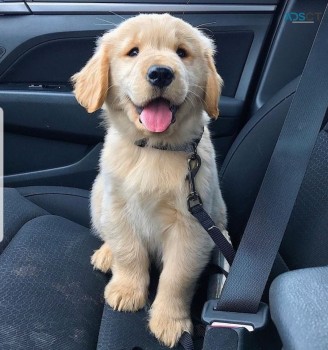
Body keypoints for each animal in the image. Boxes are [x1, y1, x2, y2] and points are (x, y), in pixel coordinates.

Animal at [72, 13, 231, 348]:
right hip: (98, 195)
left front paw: (171, 322)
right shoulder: (117, 206)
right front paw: (126, 290)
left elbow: (177, 277)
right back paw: (105, 254)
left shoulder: (192, 226)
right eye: (133, 52)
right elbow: (128, 251)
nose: (160, 73)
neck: (155, 149)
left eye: (182, 52)